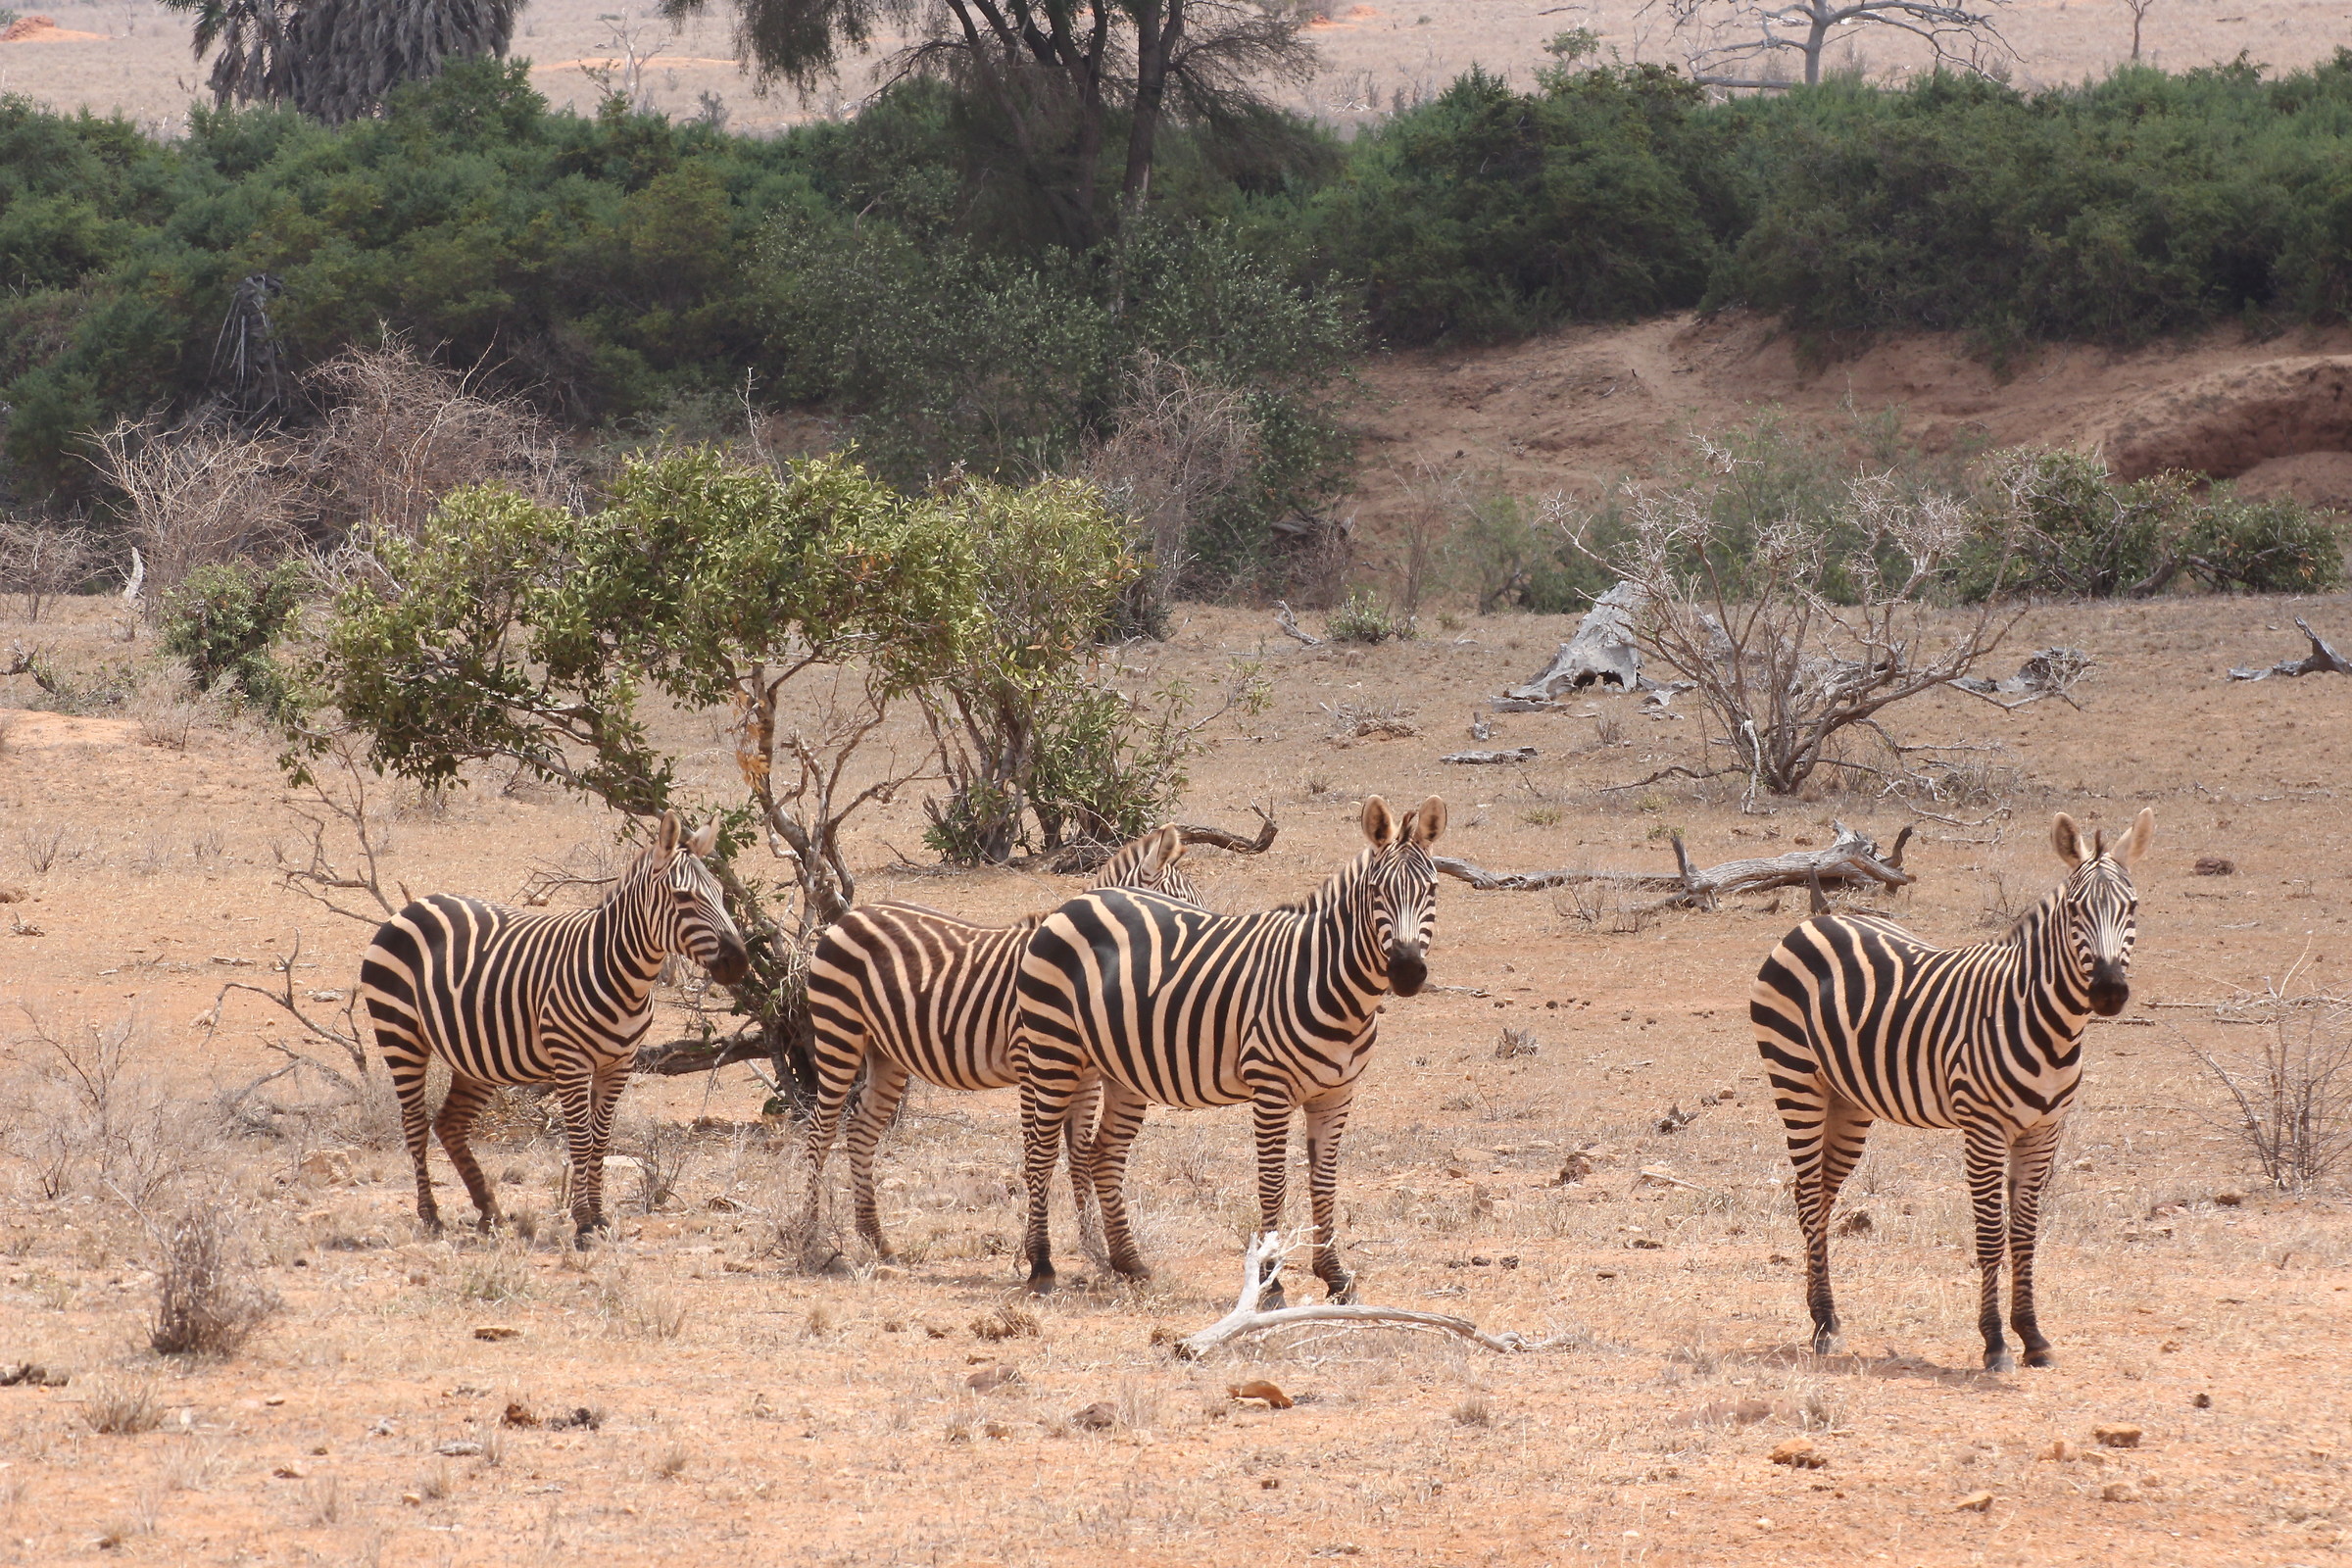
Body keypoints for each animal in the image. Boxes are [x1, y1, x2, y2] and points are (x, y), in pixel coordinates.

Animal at [360, 810, 749, 1240]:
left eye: (721, 893)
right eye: (684, 898)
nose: (740, 961)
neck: (621, 973)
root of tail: (416, 905)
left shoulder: (620, 1064)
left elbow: (601, 1141)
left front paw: (599, 1216)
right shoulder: (571, 1061)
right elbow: (581, 1140)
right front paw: (583, 1223)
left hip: (475, 1056)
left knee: (449, 1125)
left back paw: (489, 1210)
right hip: (400, 1033)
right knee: (415, 1122)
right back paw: (430, 1216)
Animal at [797, 826, 1200, 1259]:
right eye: (1183, 916)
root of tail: (850, 915)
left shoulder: (1087, 1078)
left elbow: (1079, 1155)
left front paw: (1092, 1243)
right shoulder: (1034, 1065)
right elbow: (1036, 1151)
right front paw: (1037, 1245)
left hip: (884, 1051)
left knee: (861, 1130)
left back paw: (875, 1237)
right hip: (839, 1031)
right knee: (821, 1130)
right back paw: (809, 1237)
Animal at [1011, 794, 1446, 1300]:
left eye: (1432, 890)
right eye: (1377, 892)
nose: (1408, 972)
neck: (1327, 979)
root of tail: (1076, 901)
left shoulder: (1337, 1094)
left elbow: (1324, 1180)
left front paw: (1335, 1275)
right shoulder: (1272, 1089)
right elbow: (1274, 1182)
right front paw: (1271, 1280)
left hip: (1116, 1068)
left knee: (1102, 1154)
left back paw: (1128, 1262)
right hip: (1053, 1048)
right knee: (1039, 1151)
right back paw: (1041, 1266)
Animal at [1751, 807, 2153, 1371]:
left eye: (2132, 907)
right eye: (2075, 910)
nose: (2110, 992)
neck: (2048, 1022)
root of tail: (1820, 917)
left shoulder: (2044, 1130)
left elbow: (2024, 1235)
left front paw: (2033, 1335)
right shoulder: (1983, 1129)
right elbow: (1990, 1235)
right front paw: (1995, 1342)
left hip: (1847, 1100)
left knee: (1821, 1197)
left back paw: (1822, 1316)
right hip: (1795, 1077)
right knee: (1808, 1195)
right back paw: (1825, 1325)